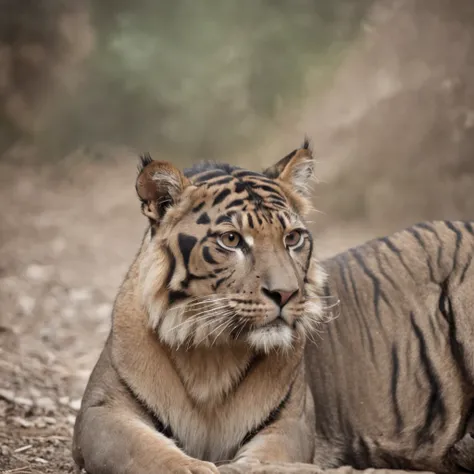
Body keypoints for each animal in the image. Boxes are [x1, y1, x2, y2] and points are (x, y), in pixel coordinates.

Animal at [71, 140, 474, 474]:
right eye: (231, 239)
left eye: (292, 238)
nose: (286, 293)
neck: (209, 356)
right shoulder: (101, 412)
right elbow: (148, 452)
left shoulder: (291, 424)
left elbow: (260, 463)